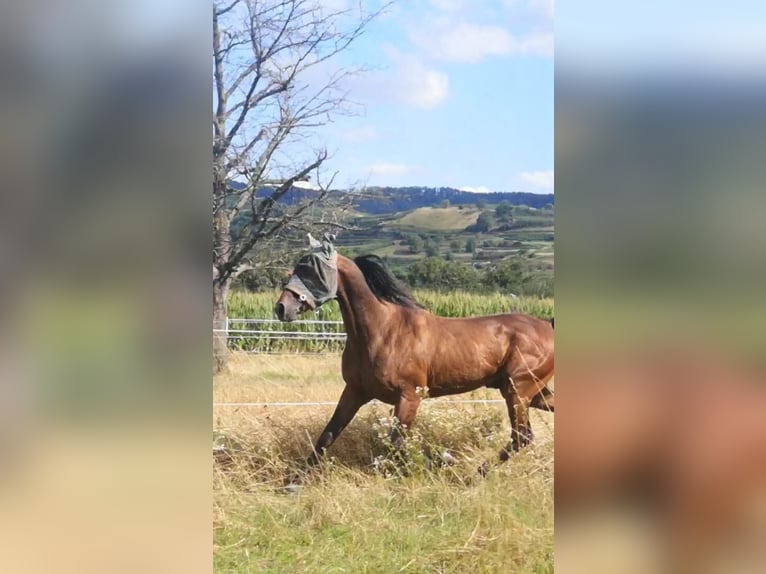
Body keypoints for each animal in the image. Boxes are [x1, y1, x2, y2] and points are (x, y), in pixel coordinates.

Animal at [276, 236, 560, 470]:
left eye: (311, 270)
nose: (281, 308)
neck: (382, 330)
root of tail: (547, 325)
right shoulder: (355, 391)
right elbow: (327, 436)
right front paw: (293, 483)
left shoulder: (409, 396)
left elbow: (397, 446)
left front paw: (441, 461)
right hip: (531, 392)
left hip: (517, 390)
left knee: (522, 436)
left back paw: (475, 475)